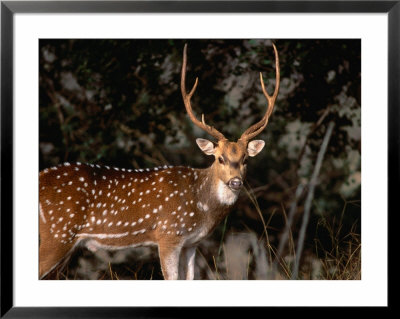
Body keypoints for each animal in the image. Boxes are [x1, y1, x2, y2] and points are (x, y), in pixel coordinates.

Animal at [39, 43, 280, 280]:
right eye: (220, 158)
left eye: (245, 159)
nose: (236, 182)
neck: (201, 205)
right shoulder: (168, 234)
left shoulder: (192, 243)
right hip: (57, 233)